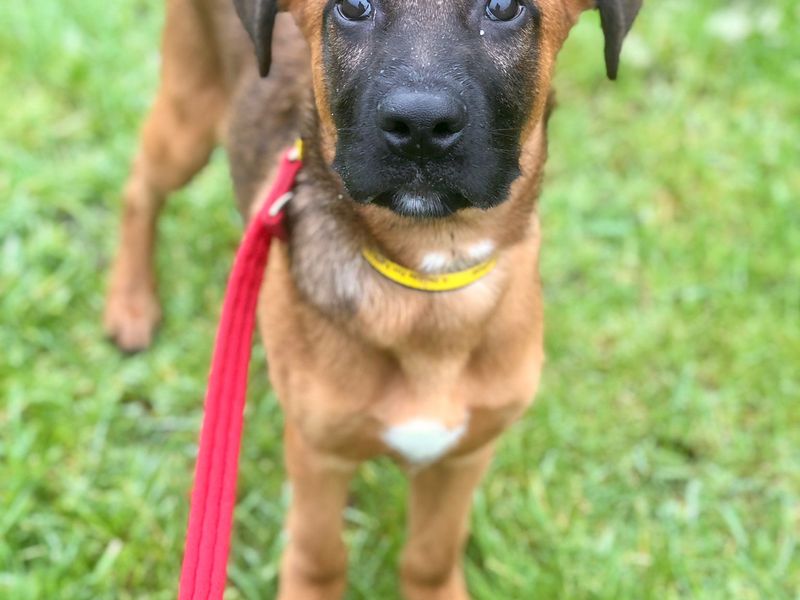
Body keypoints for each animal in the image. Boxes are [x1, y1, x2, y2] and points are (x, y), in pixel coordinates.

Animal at [106, 2, 644, 596]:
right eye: (352, 7)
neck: (429, 279)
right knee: (139, 188)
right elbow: (319, 555)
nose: (420, 128)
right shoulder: (319, 454)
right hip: (188, 113)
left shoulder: (465, 453)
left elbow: (430, 557)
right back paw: (130, 303)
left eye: (504, 9)